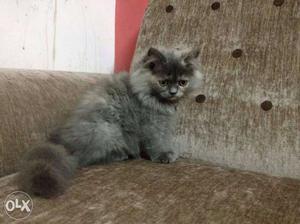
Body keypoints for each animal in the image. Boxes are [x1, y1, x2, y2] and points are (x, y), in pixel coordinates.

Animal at [17, 47, 204, 198]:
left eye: (182, 82)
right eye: (163, 82)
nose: (173, 92)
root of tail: (62, 142)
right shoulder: (151, 124)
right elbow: (157, 141)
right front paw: (164, 155)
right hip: (107, 129)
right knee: (87, 158)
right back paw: (121, 155)